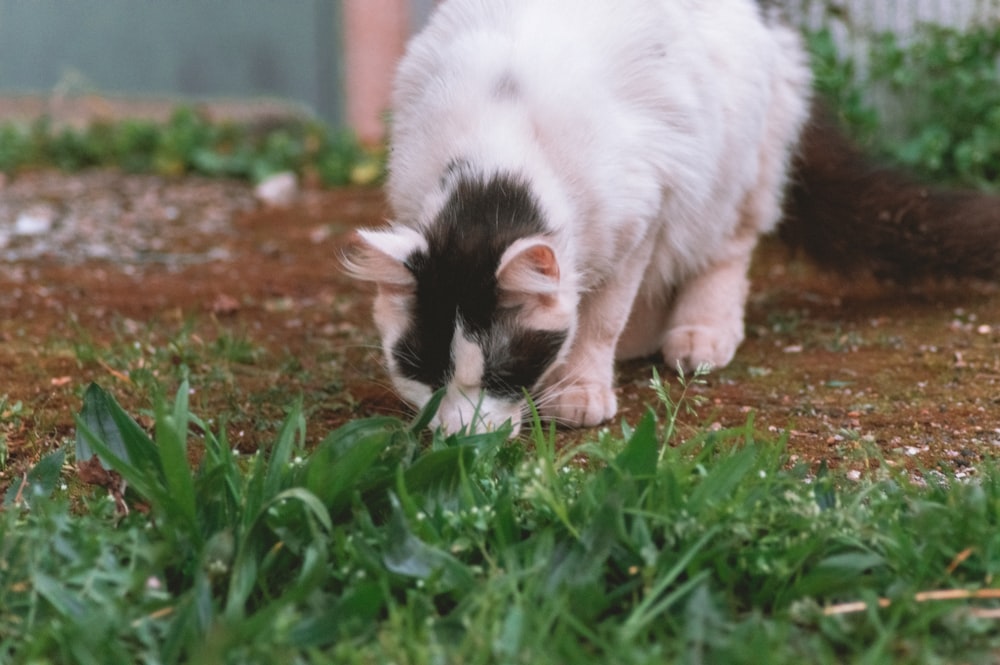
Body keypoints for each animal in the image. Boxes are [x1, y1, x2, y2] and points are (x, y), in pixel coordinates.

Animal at [346, 0, 1000, 434]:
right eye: (425, 371)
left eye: (502, 372)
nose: (458, 436)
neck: (497, 149)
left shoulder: (645, 210)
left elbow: (601, 316)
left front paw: (580, 386)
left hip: (735, 169)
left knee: (727, 252)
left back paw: (700, 334)